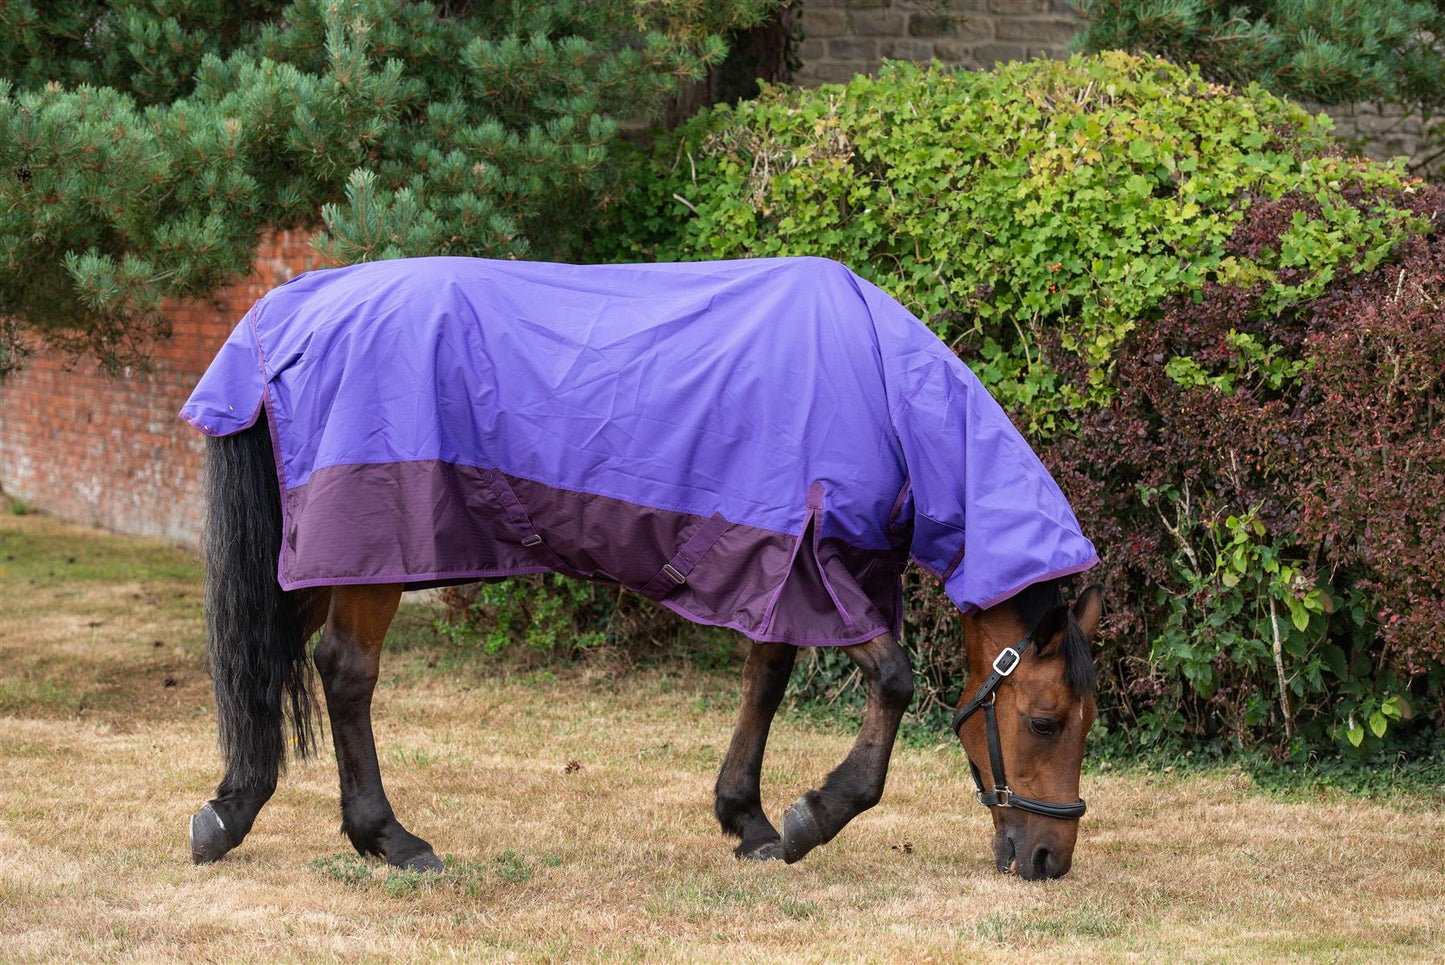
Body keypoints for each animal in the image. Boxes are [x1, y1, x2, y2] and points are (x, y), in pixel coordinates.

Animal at [182, 255, 1104, 880]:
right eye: (1045, 718)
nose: (1048, 857)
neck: (881, 390)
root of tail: (296, 308)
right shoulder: (819, 568)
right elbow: (893, 682)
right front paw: (813, 815)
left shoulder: (777, 570)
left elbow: (764, 681)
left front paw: (747, 820)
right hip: (367, 552)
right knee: (346, 670)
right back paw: (388, 836)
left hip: (313, 554)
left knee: (272, 660)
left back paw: (229, 812)